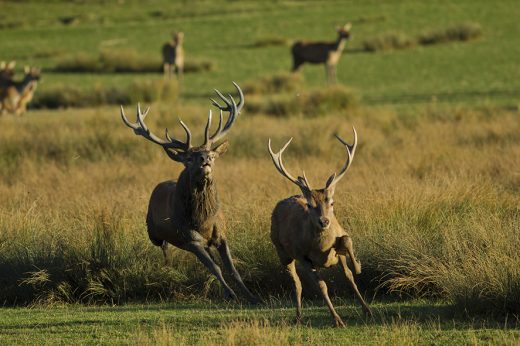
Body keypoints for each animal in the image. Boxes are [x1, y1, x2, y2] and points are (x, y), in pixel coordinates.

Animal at [122, 82, 260, 302]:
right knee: (165, 249)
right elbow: (215, 268)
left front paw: (252, 296)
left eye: (212, 153)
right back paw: (167, 267)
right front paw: (230, 294)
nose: (205, 159)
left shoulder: (221, 235)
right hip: (154, 232)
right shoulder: (190, 239)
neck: (203, 222)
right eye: (188, 158)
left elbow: (232, 269)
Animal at [268, 127, 370, 328]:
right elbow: (322, 286)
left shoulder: (339, 240)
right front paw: (337, 320)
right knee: (297, 283)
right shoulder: (303, 256)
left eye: (332, 202)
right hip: (282, 252)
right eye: (309, 205)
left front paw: (367, 308)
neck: (321, 248)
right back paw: (298, 317)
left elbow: (349, 270)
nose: (324, 221)